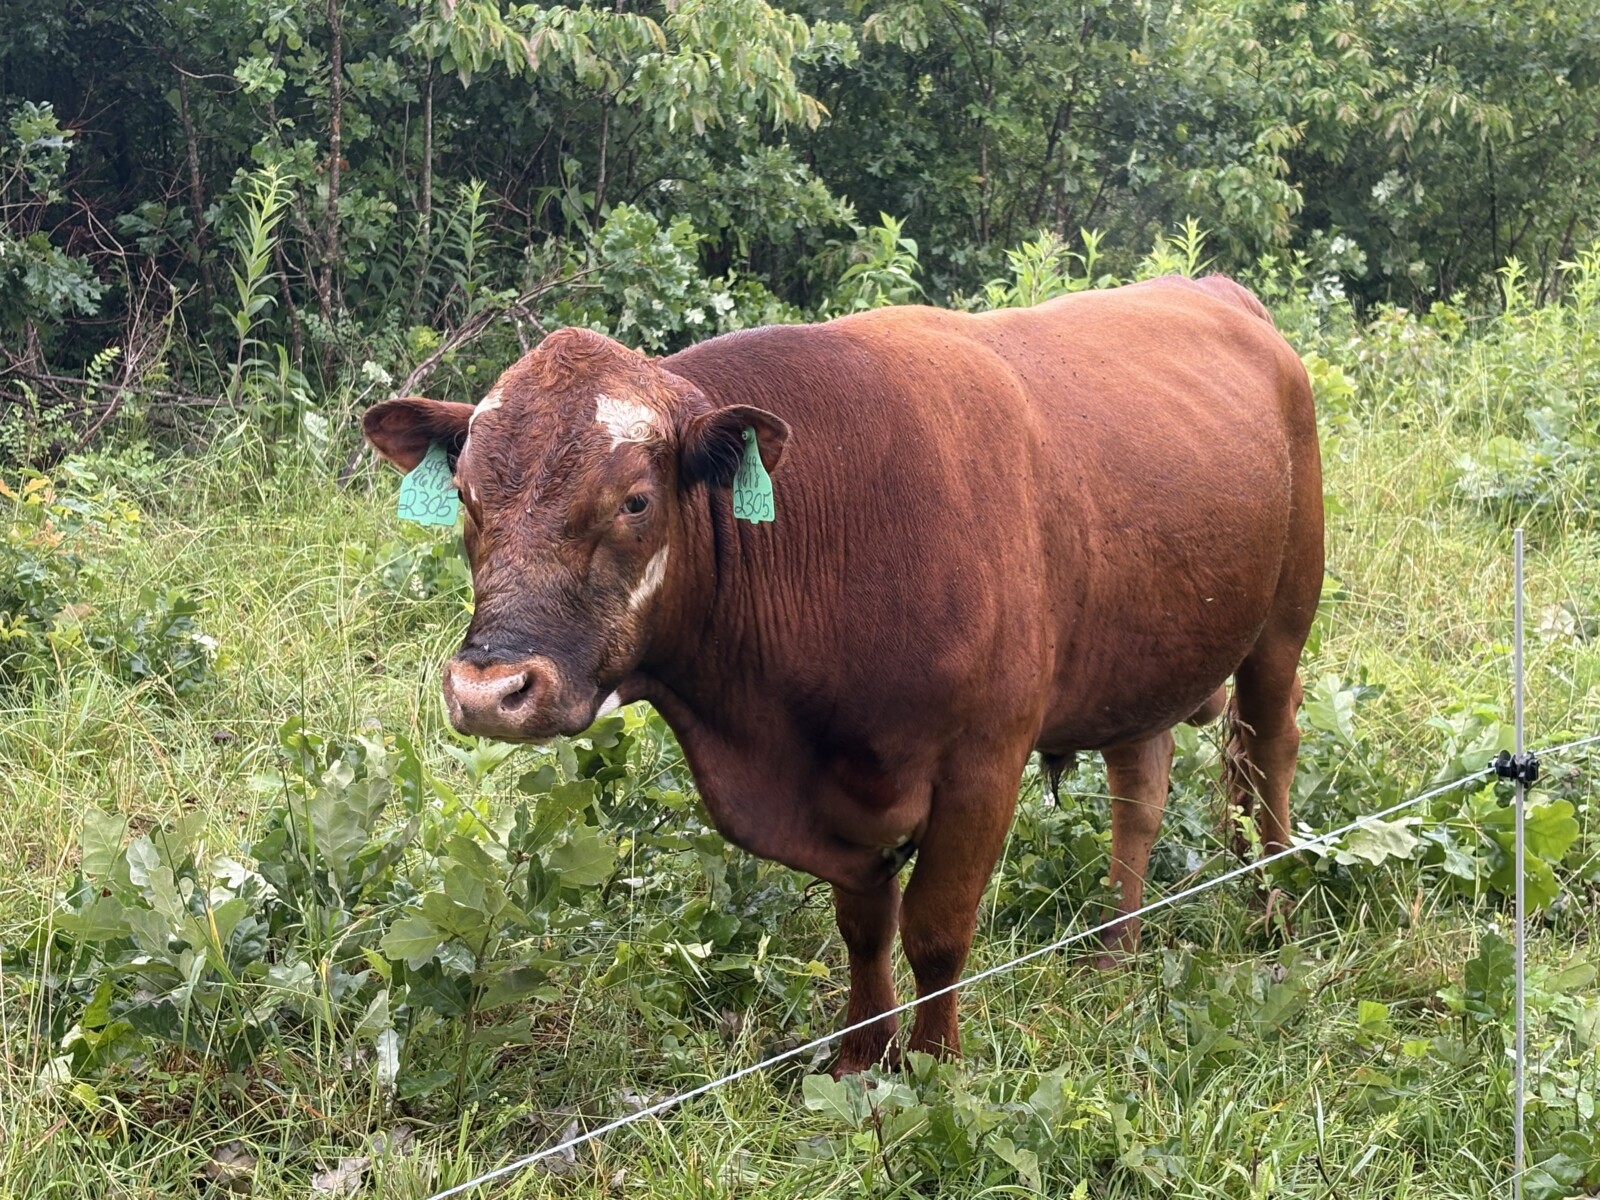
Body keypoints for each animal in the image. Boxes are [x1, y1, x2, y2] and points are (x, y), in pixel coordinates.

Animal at [362, 275, 1323, 1077]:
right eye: (467, 498)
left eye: (634, 500)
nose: (490, 692)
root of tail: (1213, 287)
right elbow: (864, 926)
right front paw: (864, 1056)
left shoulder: (983, 763)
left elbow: (936, 929)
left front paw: (934, 1065)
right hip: (1146, 660)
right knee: (1141, 794)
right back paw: (1115, 947)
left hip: (1284, 622)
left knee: (1269, 752)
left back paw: (1274, 908)